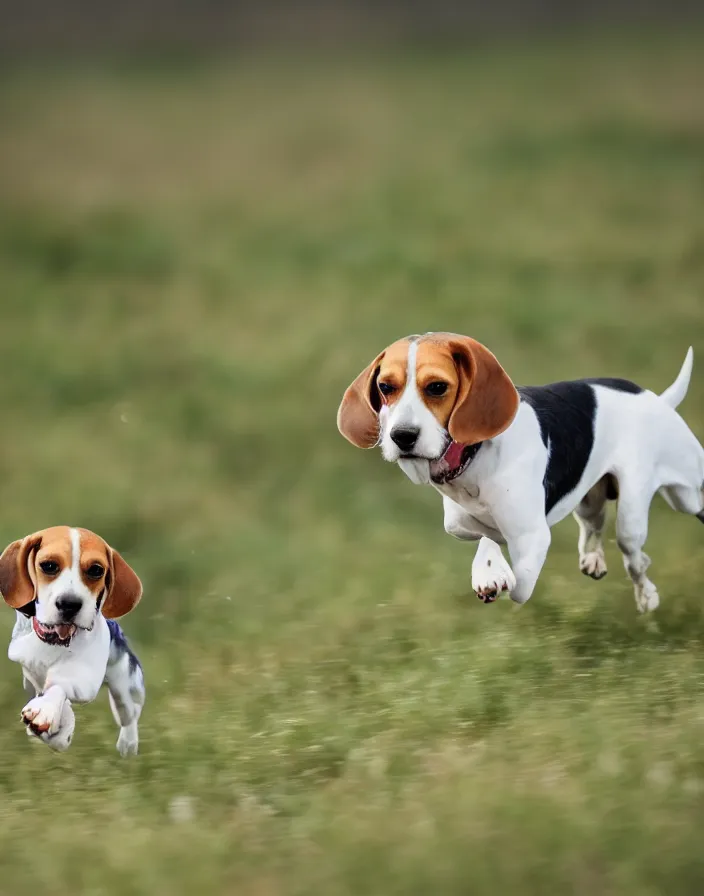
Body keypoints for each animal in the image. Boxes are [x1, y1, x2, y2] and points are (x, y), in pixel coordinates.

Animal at [0, 528, 144, 752]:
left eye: (96, 570)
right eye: (49, 566)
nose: (69, 604)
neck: (55, 642)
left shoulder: (83, 680)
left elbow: (59, 687)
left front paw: (45, 711)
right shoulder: (32, 673)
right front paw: (53, 727)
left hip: (126, 690)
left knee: (129, 718)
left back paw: (127, 745)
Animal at [336, 332, 704, 612]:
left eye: (437, 387)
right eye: (385, 387)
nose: (402, 436)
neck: (473, 457)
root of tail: (658, 400)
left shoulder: (532, 535)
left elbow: (519, 585)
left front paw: (496, 574)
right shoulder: (458, 520)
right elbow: (484, 532)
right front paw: (488, 569)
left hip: (659, 504)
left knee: (635, 555)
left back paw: (647, 594)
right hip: (591, 499)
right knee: (595, 526)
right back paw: (594, 559)